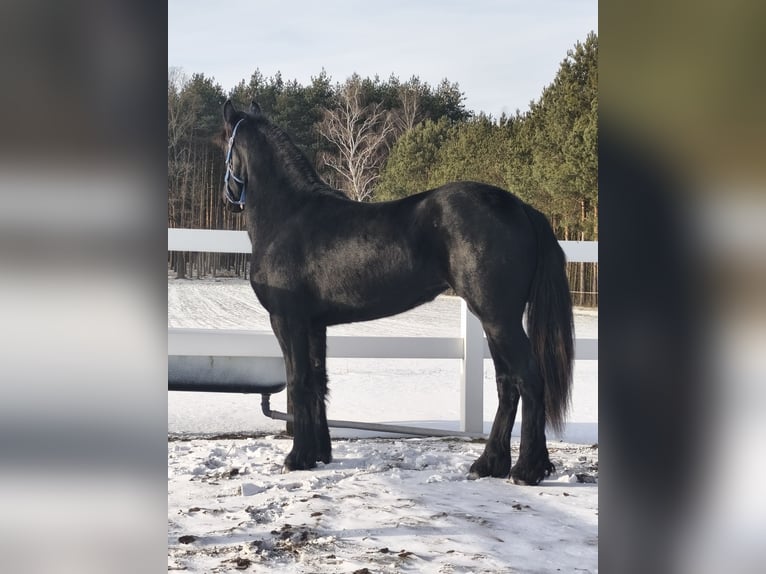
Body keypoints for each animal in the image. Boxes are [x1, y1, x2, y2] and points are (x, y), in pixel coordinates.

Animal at [220, 100, 574, 485]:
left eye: (225, 146)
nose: (228, 200)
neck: (289, 215)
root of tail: (521, 207)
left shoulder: (288, 320)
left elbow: (298, 382)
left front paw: (296, 458)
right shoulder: (315, 324)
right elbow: (317, 381)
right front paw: (318, 455)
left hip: (499, 319)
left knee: (529, 379)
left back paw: (526, 470)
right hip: (495, 321)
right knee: (506, 383)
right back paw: (489, 464)